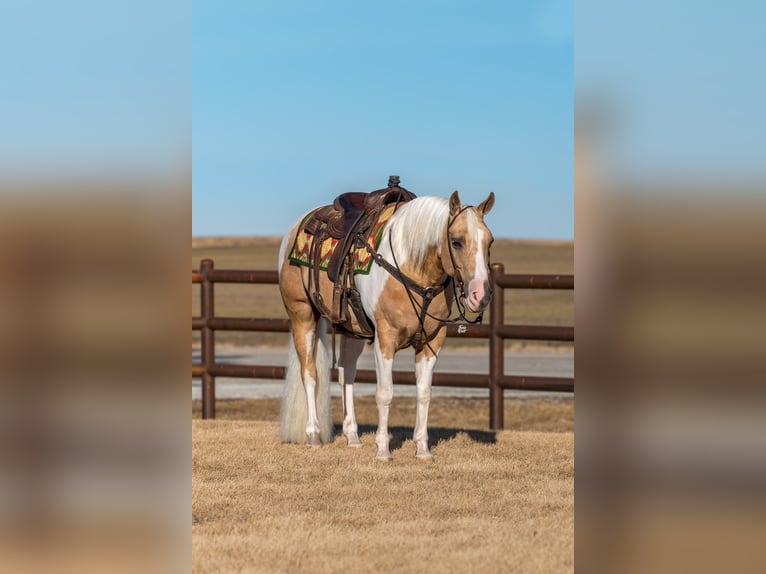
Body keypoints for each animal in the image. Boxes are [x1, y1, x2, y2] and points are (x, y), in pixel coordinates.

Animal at [280, 184, 496, 464]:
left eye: (489, 241)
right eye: (457, 241)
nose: (481, 295)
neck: (412, 268)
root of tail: (298, 225)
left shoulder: (432, 341)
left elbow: (423, 393)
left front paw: (422, 449)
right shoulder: (385, 338)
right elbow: (385, 393)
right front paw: (383, 450)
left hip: (352, 330)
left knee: (346, 374)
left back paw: (352, 436)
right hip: (302, 315)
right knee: (309, 374)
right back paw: (313, 435)